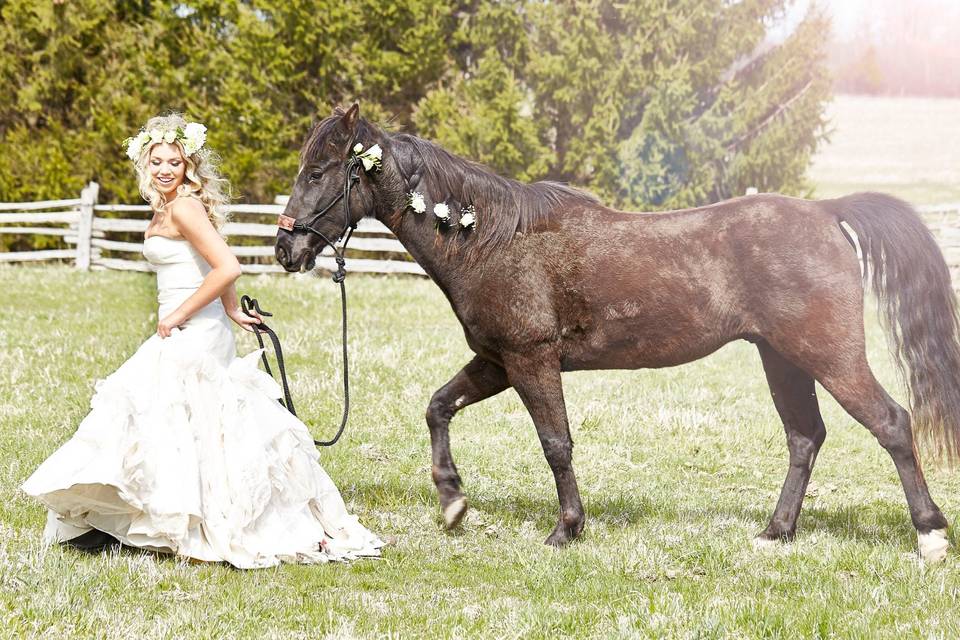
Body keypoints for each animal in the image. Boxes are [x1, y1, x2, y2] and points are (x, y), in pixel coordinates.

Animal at [274, 104, 960, 560]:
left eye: (321, 171)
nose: (286, 249)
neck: (491, 238)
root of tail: (824, 212)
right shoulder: (497, 362)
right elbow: (438, 407)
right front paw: (452, 501)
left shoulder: (530, 361)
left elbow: (556, 445)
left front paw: (566, 528)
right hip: (782, 358)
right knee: (805, 438)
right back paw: (774, 532)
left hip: (828, 356)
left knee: (891, 423)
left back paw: (929, 535)